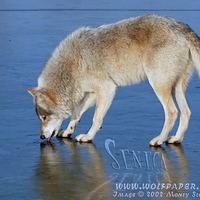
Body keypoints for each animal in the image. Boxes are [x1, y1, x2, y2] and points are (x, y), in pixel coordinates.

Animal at [27, 13, 200, 145]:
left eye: (44, 117)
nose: (41, 137)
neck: (71, 65)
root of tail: (183, 27)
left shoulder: (107, 89)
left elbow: (96, 119)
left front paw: (88, 137)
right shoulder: (92, 94)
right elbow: (76, 113)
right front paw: (69, 131)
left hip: (159, 86)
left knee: (173, 112)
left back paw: (159, 140)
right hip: (176, 88)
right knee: (186, 112)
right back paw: (176, 139)